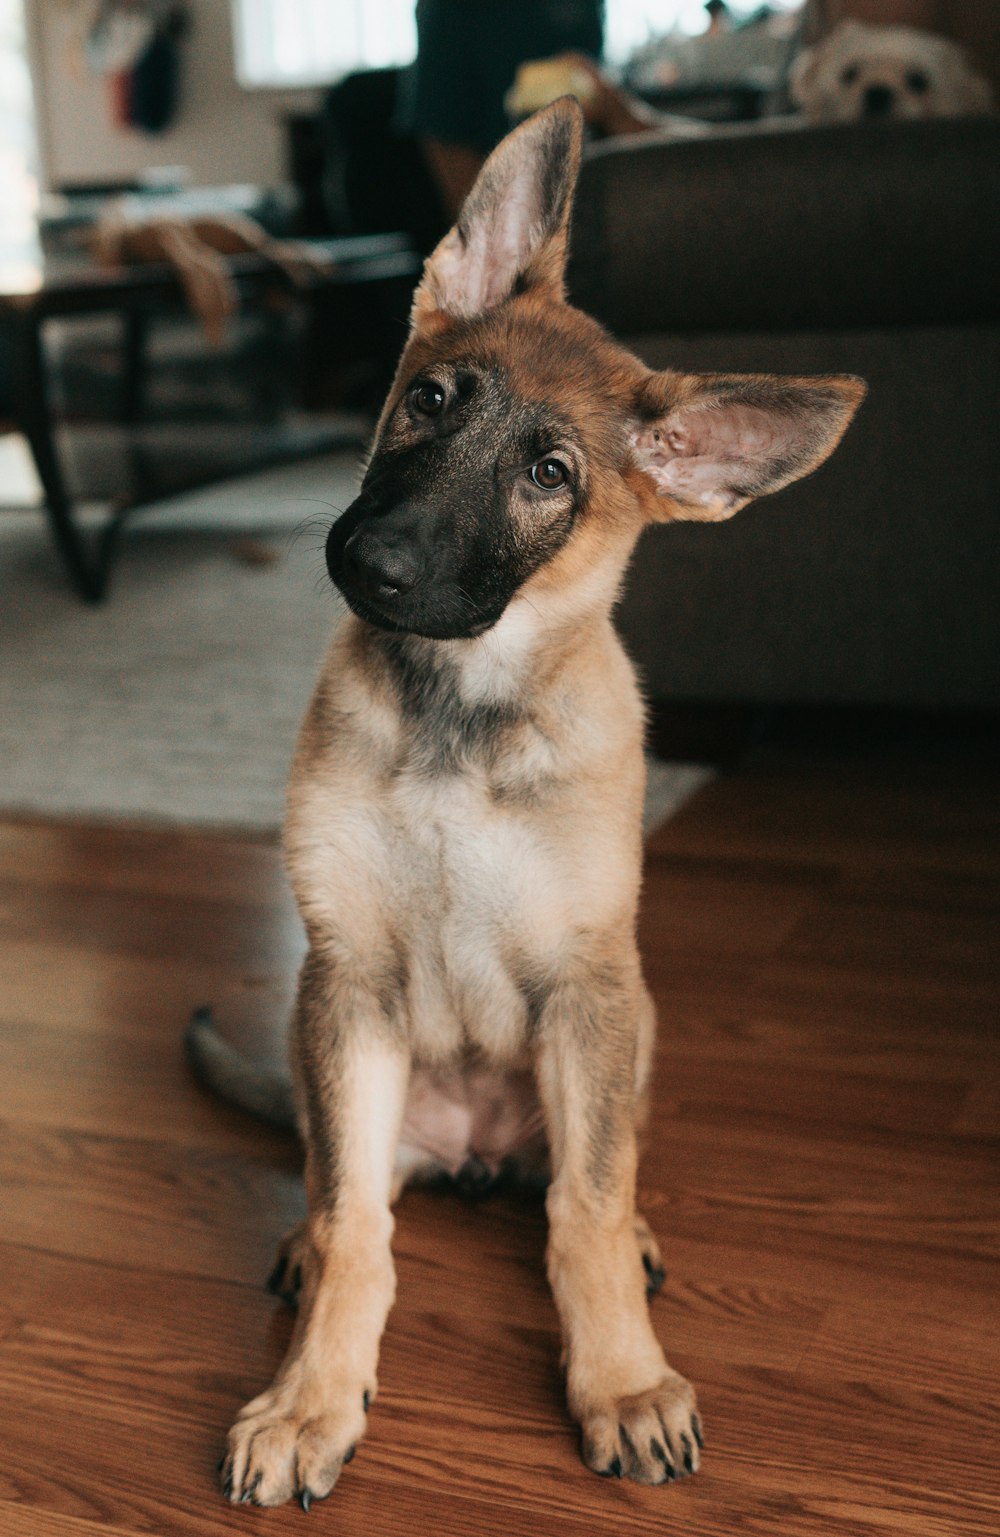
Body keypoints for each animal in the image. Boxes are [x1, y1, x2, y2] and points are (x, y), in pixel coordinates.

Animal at [192, 99, 866, 1512]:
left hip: (630, 1027)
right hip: (318, 1032)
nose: (373, 561)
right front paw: (311, 1396)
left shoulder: (584, 982)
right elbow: (356, 1223)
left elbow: (586, 1212)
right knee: (341, 1183)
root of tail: (471, 1149)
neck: (461, 708)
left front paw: (620, 1378)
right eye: (428, 399)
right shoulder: (347, 976)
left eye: (550, 473)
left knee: (588, 1168)